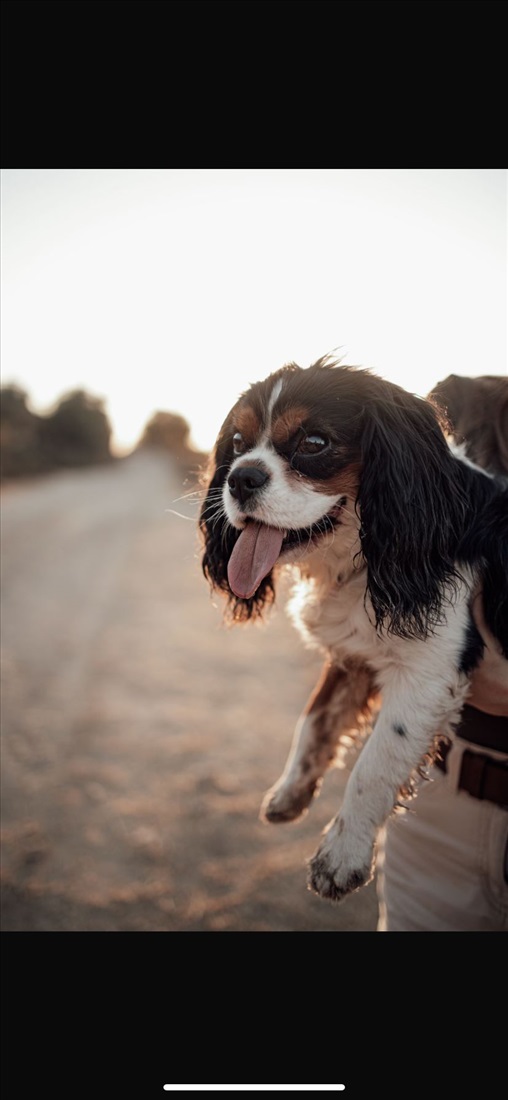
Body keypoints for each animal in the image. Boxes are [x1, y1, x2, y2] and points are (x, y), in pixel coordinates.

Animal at [199, 356, 507, 897]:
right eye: (236, 442)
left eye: (314, 443)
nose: (240, 478)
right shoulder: (356, 653)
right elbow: (314, 721)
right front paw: (291, 792)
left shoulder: (430, 672)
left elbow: (377, 762)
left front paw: (341, 856)